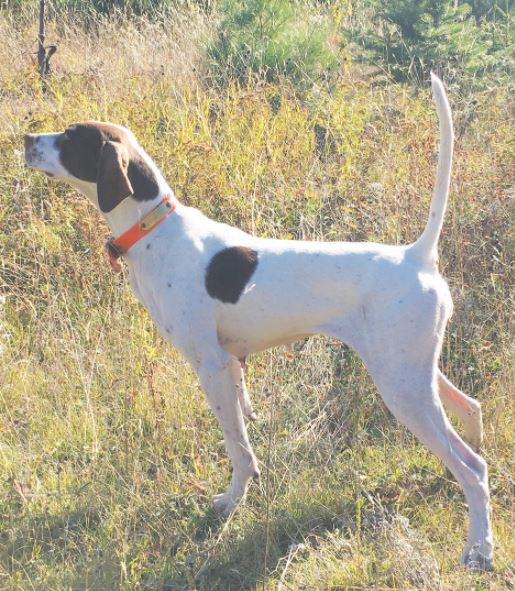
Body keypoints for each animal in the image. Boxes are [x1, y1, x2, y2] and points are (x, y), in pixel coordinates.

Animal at [25, 76, 496, 572]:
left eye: (70, 136)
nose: (25, 139)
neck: (156, 230)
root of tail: (417, 256)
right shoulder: (233, 363)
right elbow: (244, 425)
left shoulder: (210, 365)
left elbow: (238, 448)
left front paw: (232, 502)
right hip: (413, 372)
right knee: (471, 411)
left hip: (402, 388)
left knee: (473, 468)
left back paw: (480, 547)